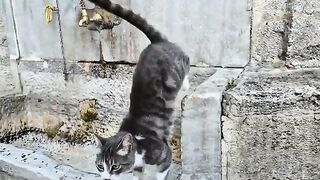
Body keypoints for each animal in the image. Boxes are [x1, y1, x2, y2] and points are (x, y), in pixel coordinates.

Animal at [89, 0, 190, 179]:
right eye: (100, 166)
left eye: (115, 166)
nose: (106, 177)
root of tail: (156, 43)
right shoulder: (137, 168)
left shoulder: (164, 154)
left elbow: (161, 172)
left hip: (177, 67)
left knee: (186, 61)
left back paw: (186, 83)